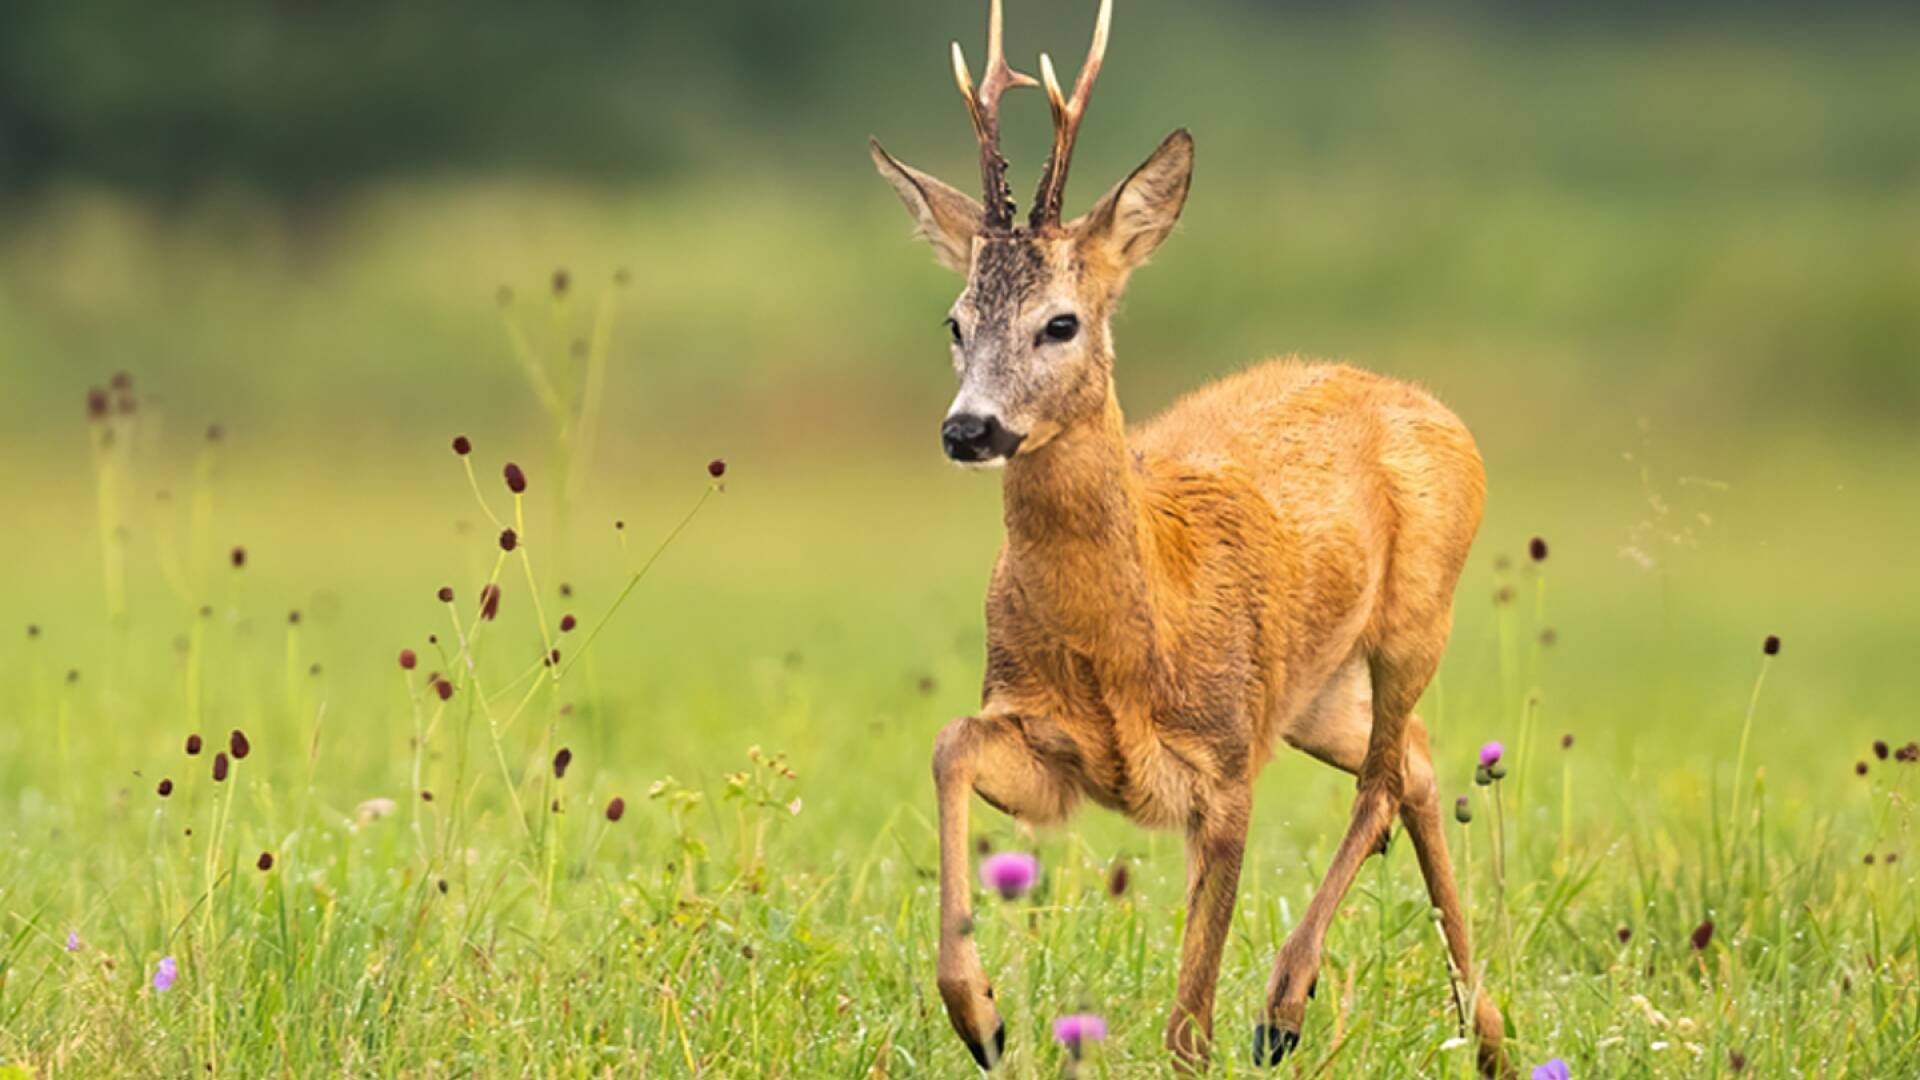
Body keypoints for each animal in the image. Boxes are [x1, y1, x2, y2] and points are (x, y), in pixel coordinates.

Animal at [875, 0, 1512, 1068]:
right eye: (955, 322)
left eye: (1061, 323)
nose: (969, 430)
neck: (1133, 633)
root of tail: (1427, 404)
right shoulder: (1056, 751)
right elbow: (950, 742)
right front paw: (981, 1015)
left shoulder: (1223, 763)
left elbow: (1189, 1018)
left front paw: (1226, 1025)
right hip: (1312, 692)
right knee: (1416, 763)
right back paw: (1491, 1032)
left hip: (1417, 618)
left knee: (1384, 777)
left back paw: (1289, 1004)